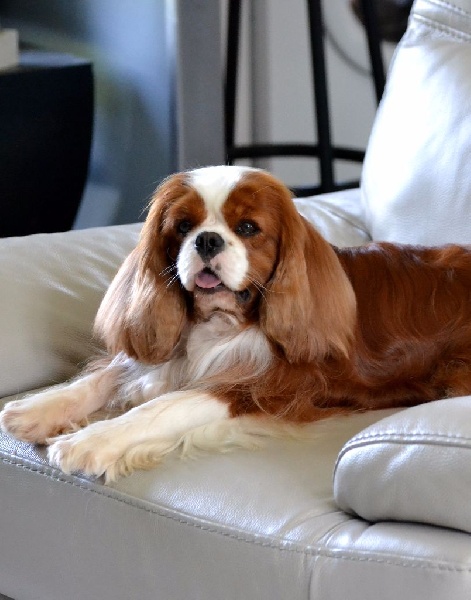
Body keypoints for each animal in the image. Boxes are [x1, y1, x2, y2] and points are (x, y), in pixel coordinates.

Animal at [2, 165, 471, 482]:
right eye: (183, 226)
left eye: (247, 227)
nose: (207, 240)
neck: (222, 322)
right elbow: (111, 373)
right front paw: (38, 408)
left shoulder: (268, 386)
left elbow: (164, 407)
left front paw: (92, 441)